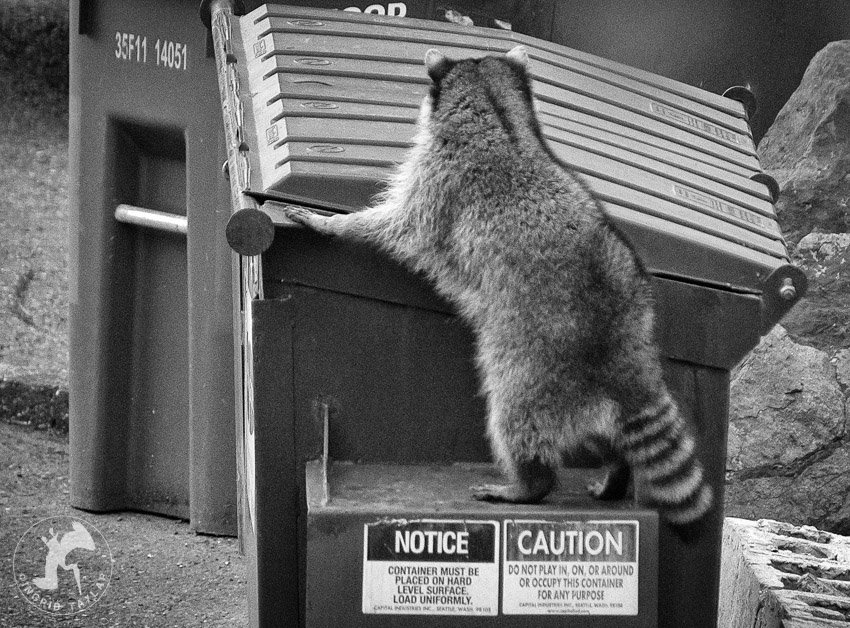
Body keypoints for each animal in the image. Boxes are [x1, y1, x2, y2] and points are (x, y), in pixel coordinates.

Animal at [284, 46, 708, 532]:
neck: (499, 115)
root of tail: (621, 342)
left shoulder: (439, 179)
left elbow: (403, 226)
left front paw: (338, 224)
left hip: (532, 367)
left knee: (515, 418)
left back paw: (530, 483)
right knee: (602, 432)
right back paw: (615, 467)